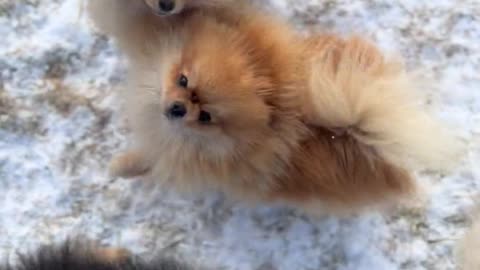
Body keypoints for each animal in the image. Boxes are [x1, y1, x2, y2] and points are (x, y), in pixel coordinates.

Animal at [88, 1, 460, 213]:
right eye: (182, 79)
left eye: (206, 117)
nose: (177, 109)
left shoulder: (184, 155)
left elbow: (152, 159)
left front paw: (121, 166)